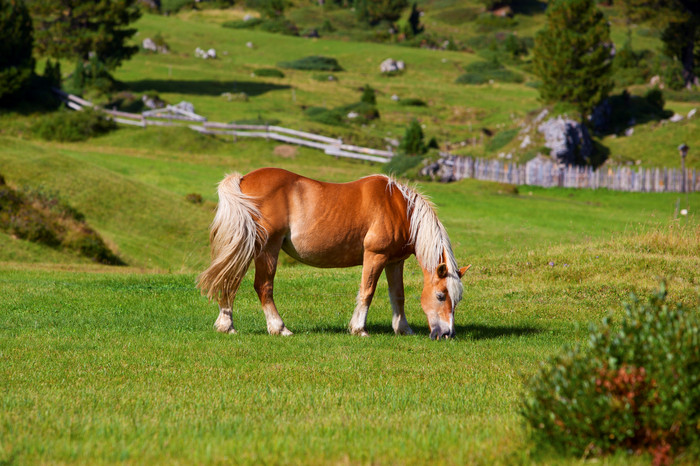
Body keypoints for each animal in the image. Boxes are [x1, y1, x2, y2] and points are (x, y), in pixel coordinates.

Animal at [197, 167, 470, 338]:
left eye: (456, 299)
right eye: (441, 296)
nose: (447, 333)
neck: (398, 207)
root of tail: (243, 180)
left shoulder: (395, 262)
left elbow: (398, 296)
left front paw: (403, 329)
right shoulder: (376, 256)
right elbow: (367, 292)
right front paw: (359, 329)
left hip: (246, 246)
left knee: (229, 279)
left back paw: (226, 325)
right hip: (267, 248)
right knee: (263, 286)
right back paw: (279, 327)